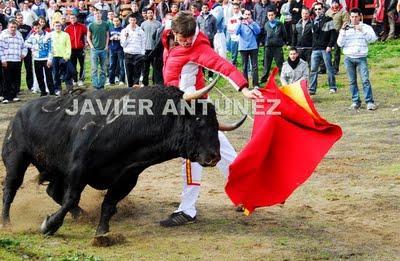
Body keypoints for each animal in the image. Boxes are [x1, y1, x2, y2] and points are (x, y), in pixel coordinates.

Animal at [1, 85, 245, 236]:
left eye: (216, 124)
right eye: (198, 120)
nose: (214, 156)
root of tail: (21, 111)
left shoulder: (127, 176)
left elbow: (108, 204)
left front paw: (102, 233)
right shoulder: (78, 169)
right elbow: (71, 198)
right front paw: (49, 225)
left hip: (55, 169)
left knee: (52, 190)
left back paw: (82, 215)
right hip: (16, 158)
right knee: (11, 188)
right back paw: (7, 223)